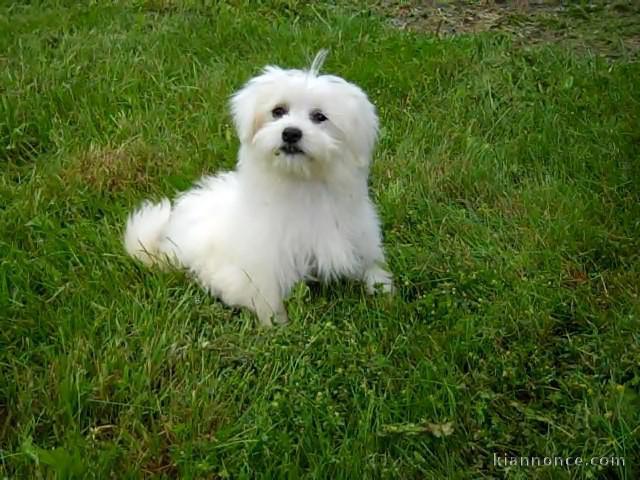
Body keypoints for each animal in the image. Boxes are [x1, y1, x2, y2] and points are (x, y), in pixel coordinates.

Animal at [124, 50, 392, 324]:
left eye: (319, 117)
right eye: (278, 111)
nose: (291, 133)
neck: (300, 184)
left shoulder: (356, 234)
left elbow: (370, 265)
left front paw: (382, 288)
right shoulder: (263, 260)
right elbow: (266, 293)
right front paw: (277, 323)